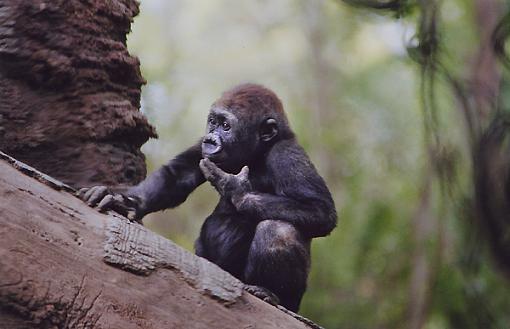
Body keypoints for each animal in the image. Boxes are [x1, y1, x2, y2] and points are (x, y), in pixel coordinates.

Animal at [78, 83, 334, 312]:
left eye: (226, 126)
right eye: (213, 122)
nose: (211, 139)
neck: (258, 151)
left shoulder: (287, 155)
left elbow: (320, 211)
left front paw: (236, 190)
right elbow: (176, 176)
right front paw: (123, 201)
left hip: (294, 300)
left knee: (279, 230)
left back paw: (269, 291)